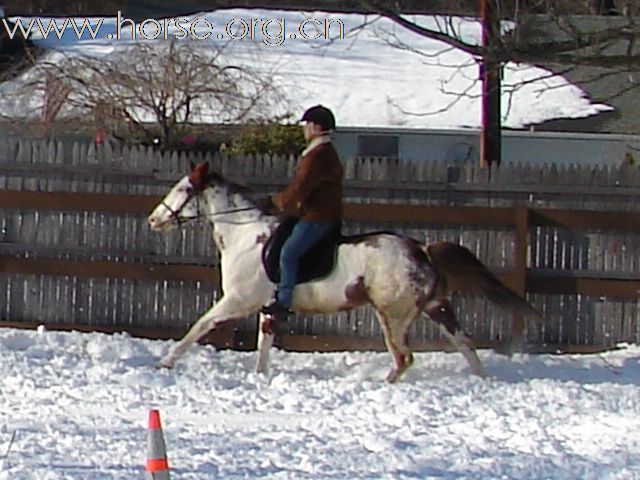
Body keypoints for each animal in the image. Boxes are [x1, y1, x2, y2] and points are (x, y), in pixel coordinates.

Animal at [149, 161, 540, 382]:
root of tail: (422, 250)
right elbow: (264, 344)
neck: (246, 235)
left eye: (183, 189)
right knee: (465, 345)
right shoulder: (267, 307)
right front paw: (259, 378)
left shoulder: (237, 301)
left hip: (393, 316)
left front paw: (166, 363)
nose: (153, 220)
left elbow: (199, 326)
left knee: (404, 358)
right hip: (437, 307)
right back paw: (483, 382)